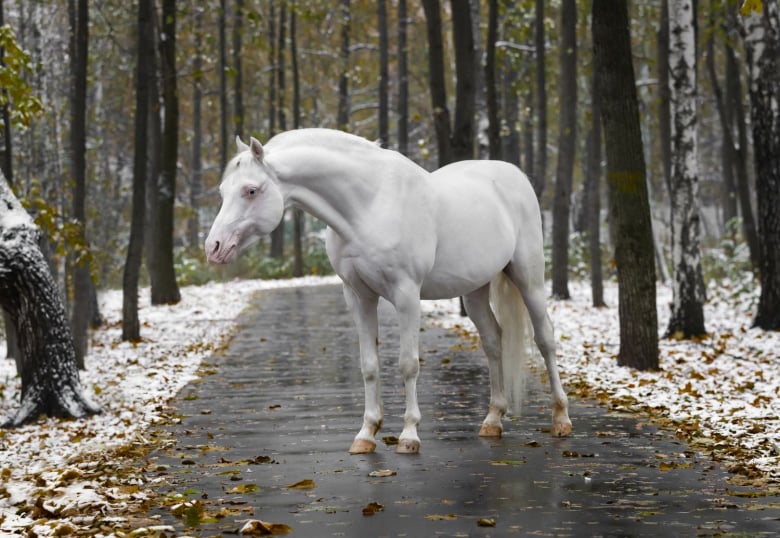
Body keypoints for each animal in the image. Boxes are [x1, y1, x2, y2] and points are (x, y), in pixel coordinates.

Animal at [205, 128, 571, 454]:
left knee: (545, 339)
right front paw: (366, 434)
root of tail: (515, 176)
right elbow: (369, 365)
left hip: (529, 278)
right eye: (222, 190)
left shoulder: (406, 295)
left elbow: (408, 364)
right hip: (475, 290)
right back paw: (493, 420)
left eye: (251, 190)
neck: (367, 207)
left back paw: (561, 419)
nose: (214, 248)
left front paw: (409, 435)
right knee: (494, 341)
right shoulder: (358, 296)